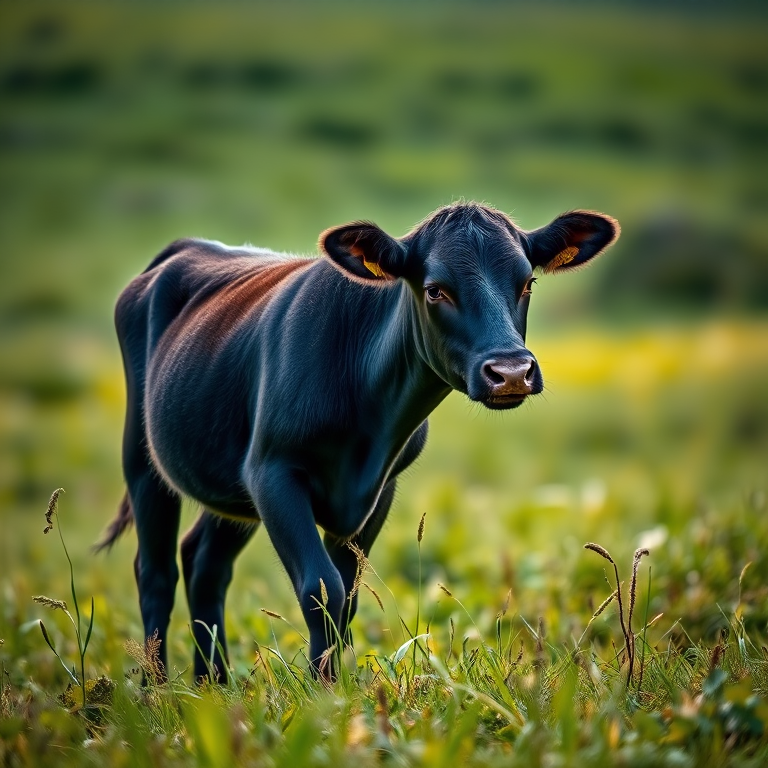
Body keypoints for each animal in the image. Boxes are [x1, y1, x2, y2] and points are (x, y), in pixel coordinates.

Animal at [97, 201, 619, 681]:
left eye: (527, 283)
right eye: (435, 290)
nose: (511, 372)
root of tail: (187, 249)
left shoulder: (378, 487)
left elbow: (345, 596)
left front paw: (337, 689)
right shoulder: (272, 471)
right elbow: (321, 588)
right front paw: (323, 696)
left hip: (228, 479)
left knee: (204, 562)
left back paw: (214, 687)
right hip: (143, 459)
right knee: (155, 570)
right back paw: (159, 691)